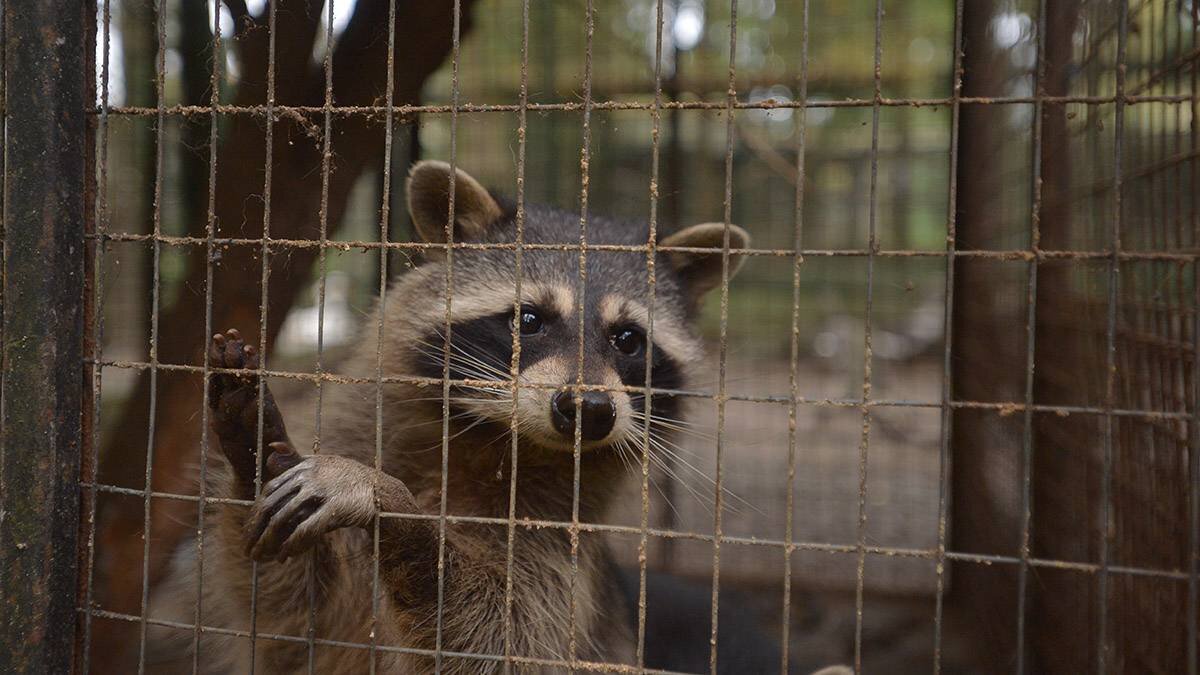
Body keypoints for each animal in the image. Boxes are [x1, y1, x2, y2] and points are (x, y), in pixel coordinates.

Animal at [145, 159, 744, 667]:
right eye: (528, 320)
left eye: (628, 341)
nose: (590, 408)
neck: (496, 439)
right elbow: (290, 619)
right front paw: (254, 455)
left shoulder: (556, 551)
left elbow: (501, 638)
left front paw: (391, 506)